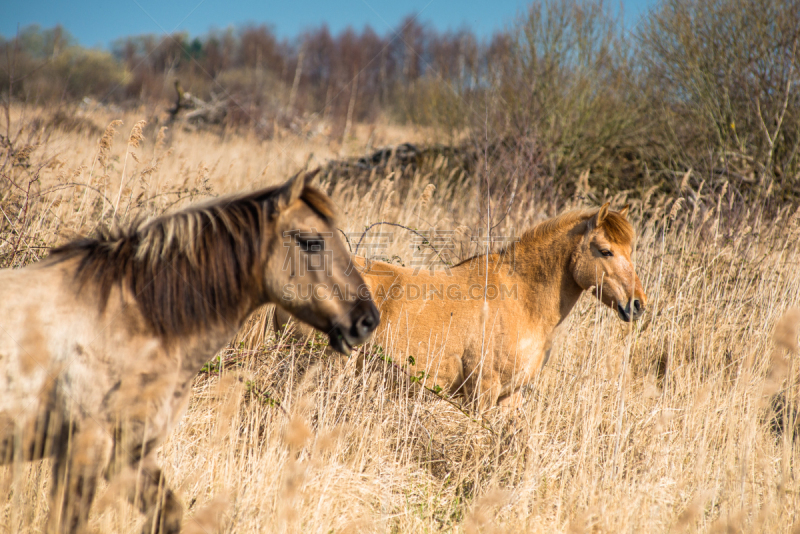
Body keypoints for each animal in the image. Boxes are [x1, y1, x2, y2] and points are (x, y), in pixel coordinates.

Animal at [0, 173, 380, 534]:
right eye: (311, 242)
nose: (367, 319)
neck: (133, 318)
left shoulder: (129, 454)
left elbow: (167, 512)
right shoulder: (83, 446)